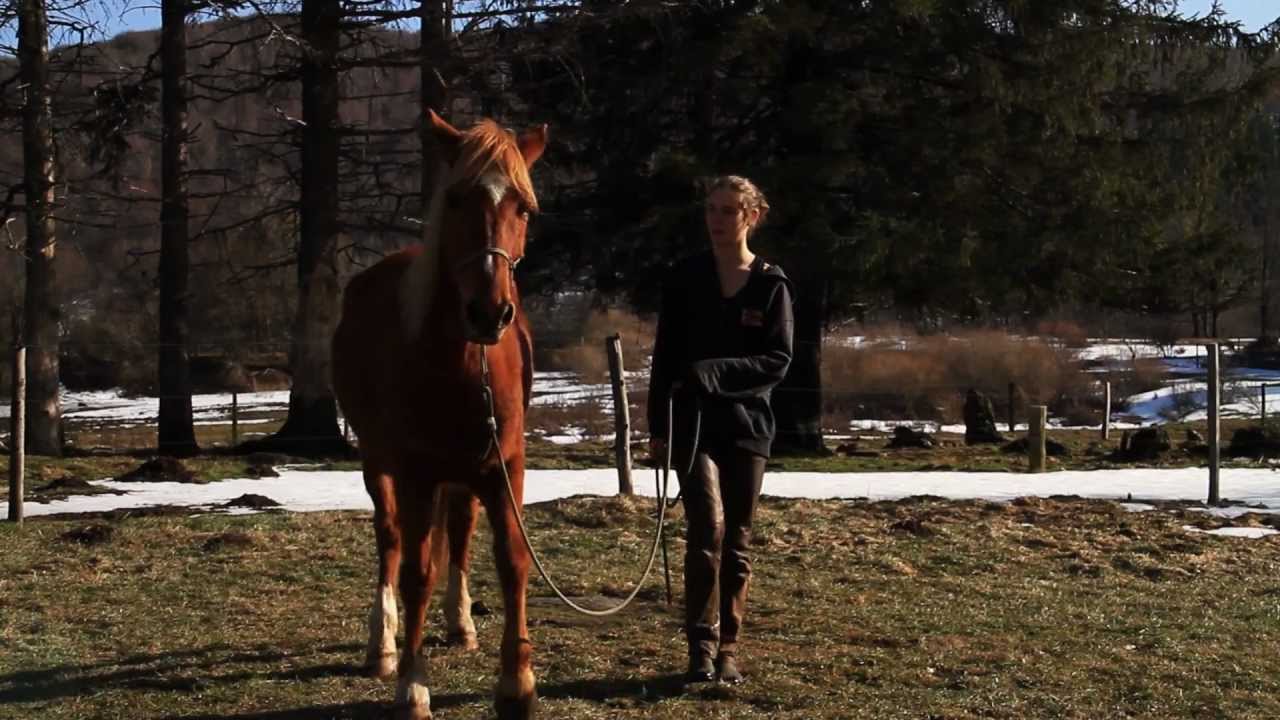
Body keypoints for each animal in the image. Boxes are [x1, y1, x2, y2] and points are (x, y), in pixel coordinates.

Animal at [332, 110, 545, 720]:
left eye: (523, 207)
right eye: (455, 199)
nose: (489, 312)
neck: (463, 363)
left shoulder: (504, 465)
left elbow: (512, 559)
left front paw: (516, 684)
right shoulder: (415, 473)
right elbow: (415, 573)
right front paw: (412, 686)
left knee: (461, 530)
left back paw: (460, 623)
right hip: (378, 463)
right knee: (389, 539)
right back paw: (382, 645)